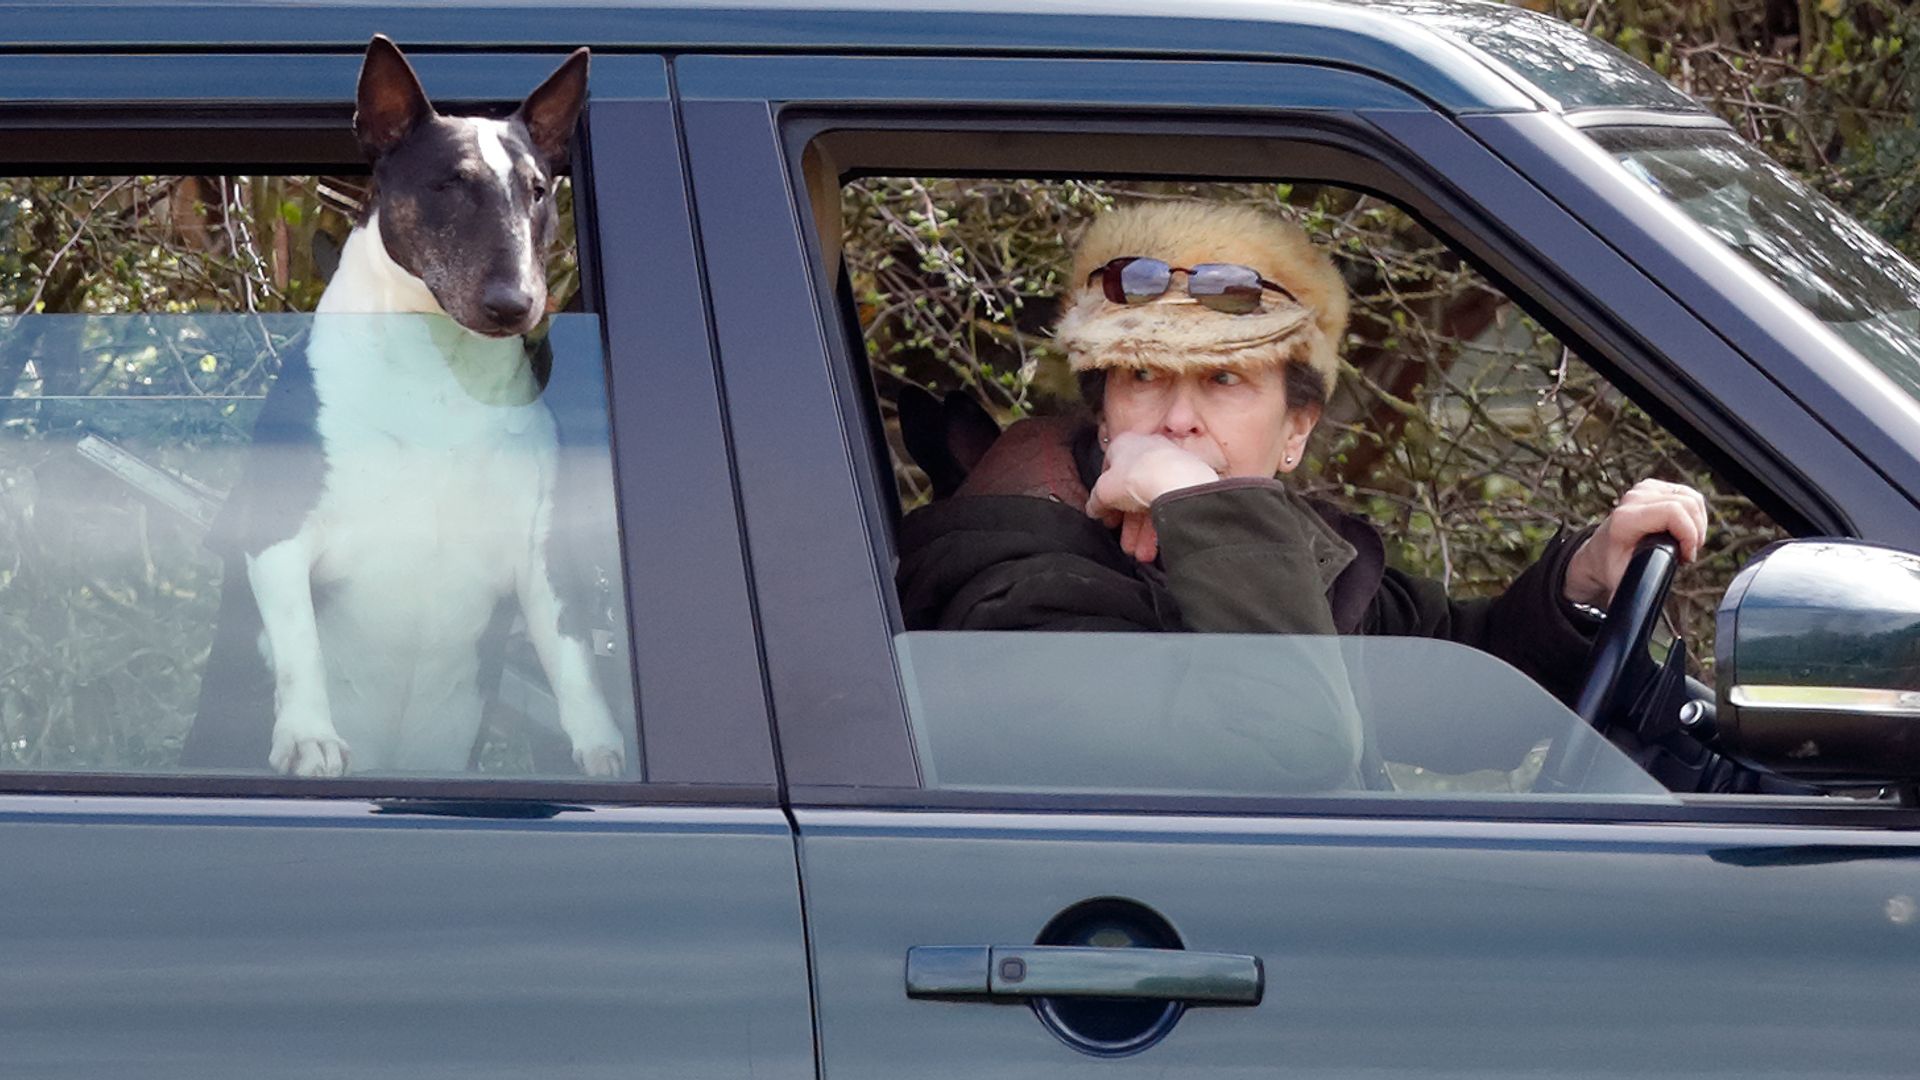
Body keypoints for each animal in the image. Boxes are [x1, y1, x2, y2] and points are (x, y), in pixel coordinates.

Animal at [181, 33, 622, 772]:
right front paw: (309, 737)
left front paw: (605, 753)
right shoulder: (278, 535)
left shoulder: (541, 554)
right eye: (450, 184)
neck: (440, 373)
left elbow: (575, 659)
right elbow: (299, 647)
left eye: (538, 190)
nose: (516, 304)